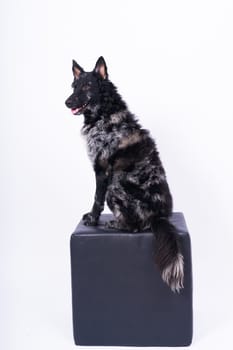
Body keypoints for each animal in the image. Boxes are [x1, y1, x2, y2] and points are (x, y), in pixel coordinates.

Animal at [64, 57, 183, 292]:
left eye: (87, 86)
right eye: (74, 86)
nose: (67, 102)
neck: (105, 114)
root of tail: (159, 217)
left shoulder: (101, 170)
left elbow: (96, 199)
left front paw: (92, 219)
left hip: (115, 186)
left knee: (135, 227)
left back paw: (114, 224)